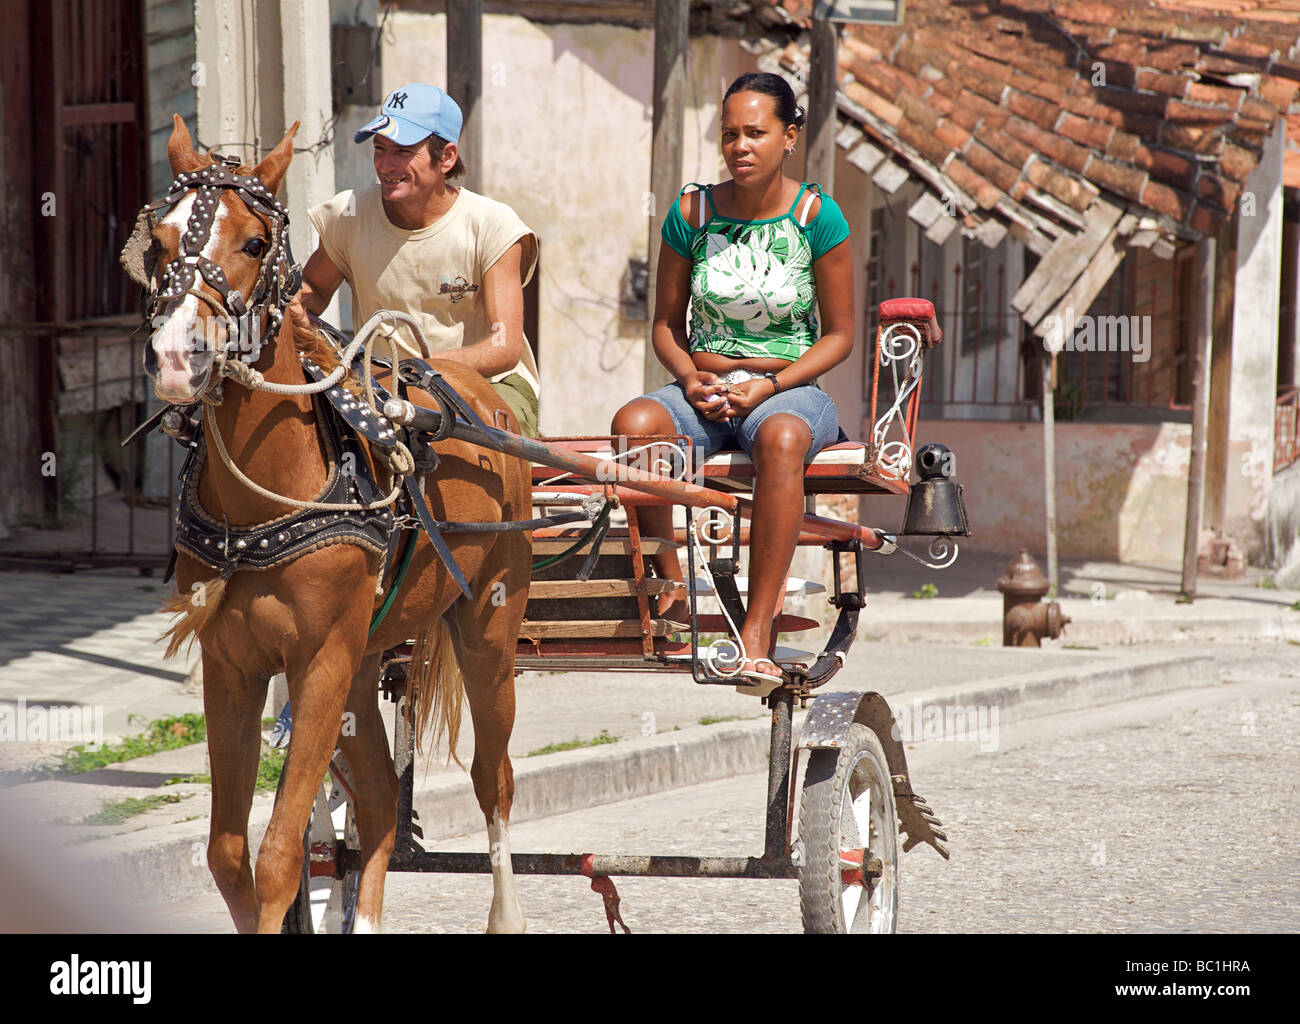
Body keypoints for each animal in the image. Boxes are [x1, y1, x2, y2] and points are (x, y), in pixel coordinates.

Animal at [135, 116, 527, 930]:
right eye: (157, 241)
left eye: (255, 242)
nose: (177, 357)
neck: (270, 502)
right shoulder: (234, 666)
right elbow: (228, 856)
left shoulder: (316, 662)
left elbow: (281, 854)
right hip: (364, 661)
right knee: (377, 802)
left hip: (488, 630)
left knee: (494, 779)